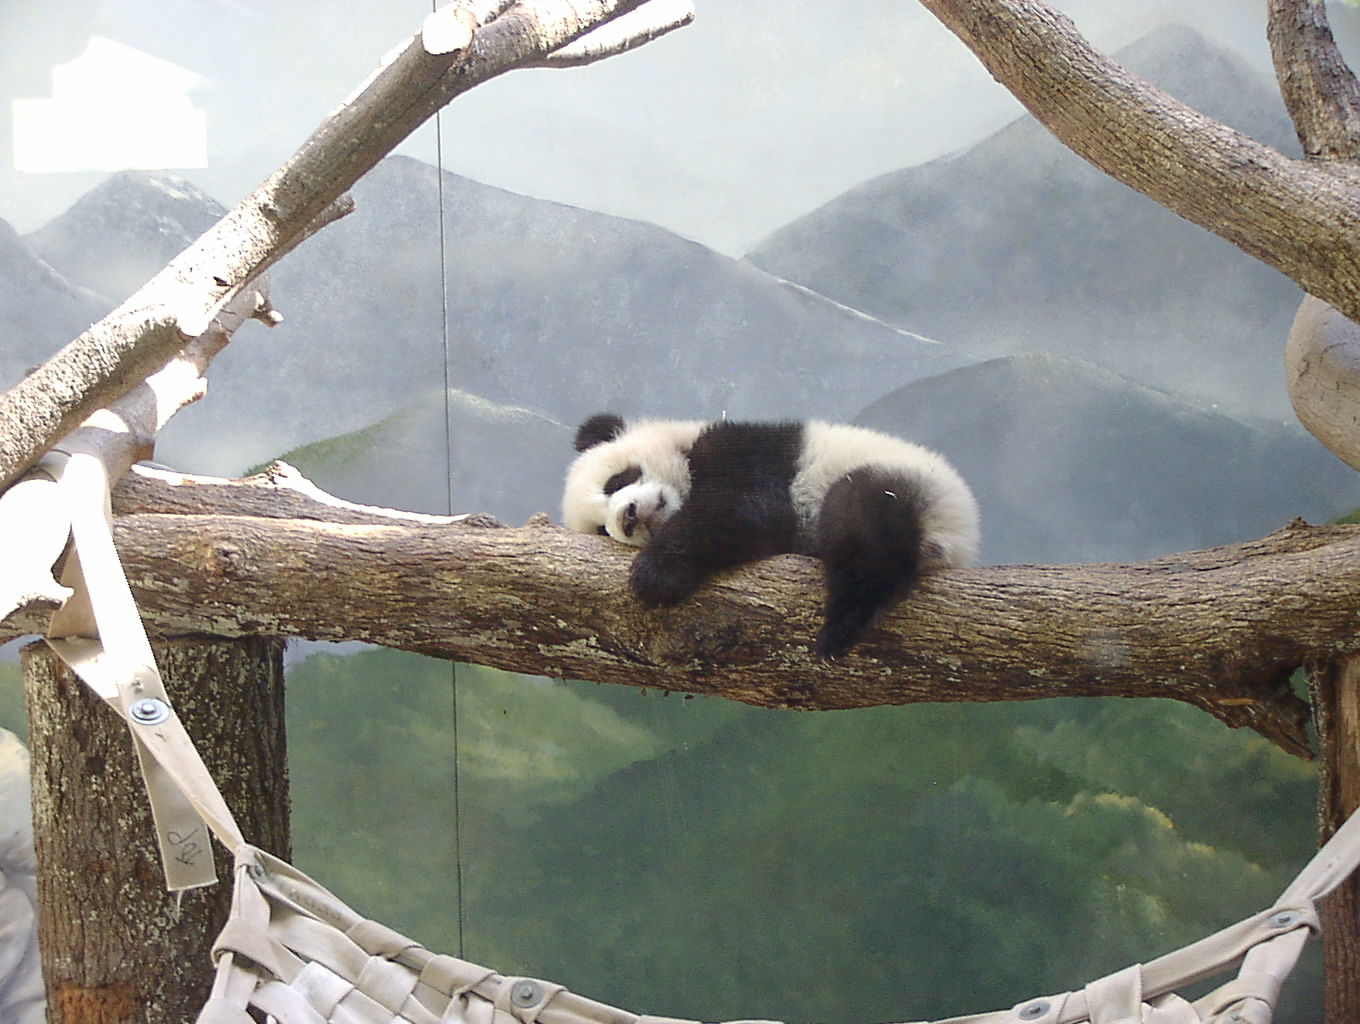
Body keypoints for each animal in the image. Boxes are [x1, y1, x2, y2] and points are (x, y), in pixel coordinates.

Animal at [562, 412, 979, 659]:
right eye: (602, 530)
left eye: (617, 480)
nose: (628, 517)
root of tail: (960, 541)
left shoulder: (747, 453)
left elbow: (743, 510)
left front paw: (655, 575)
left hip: (901, 481)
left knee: (863, 528)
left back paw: (842, 624)